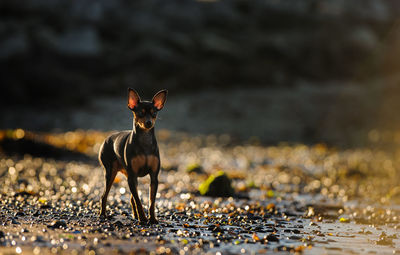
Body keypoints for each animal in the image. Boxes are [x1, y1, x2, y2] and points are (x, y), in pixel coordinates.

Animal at [100, 88, 169, 224]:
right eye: (140, 113)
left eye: (154, 113)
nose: (149, 123)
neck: (145, 140)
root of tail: (107, 139)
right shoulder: (132, 176)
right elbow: (138, 201)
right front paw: (143, 218)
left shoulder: (154, 177)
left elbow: (151, 201)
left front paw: (152, 219)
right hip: (111, 173)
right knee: (104, 195)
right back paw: (103, 214)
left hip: (130, 177)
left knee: (132, 198)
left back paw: (135, 215)